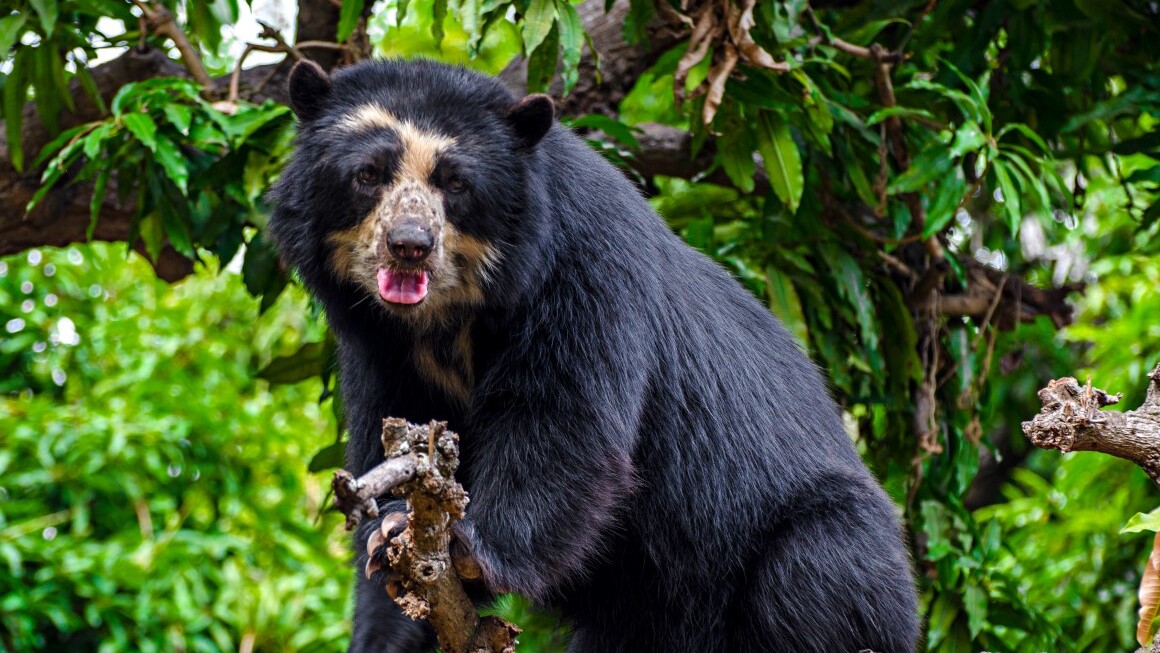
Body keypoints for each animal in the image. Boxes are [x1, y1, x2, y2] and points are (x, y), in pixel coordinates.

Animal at [266, 57, 918, 653]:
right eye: (368, 174)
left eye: (455, 183)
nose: (409, 246)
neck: (449, 318)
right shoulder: (379, 347)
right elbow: (397, 433)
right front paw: (392, 550)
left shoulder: (582, 270)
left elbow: (562, 423)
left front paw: (468, 549)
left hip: (818, 547)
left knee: (811, 573)